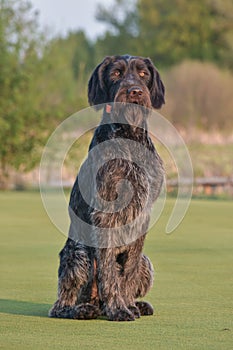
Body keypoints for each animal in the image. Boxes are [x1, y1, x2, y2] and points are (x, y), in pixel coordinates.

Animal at [49, 54, 165, 320]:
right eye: (116, 74)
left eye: (143, 74)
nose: (134, 91)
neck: (129, 136)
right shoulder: (105, 214)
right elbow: (108, 272)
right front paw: (118, 309)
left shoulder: (142, 216)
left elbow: (128, 272)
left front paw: (129, 304)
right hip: (79, 252)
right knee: (61, 304)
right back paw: (83, 309)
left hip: (146, 261)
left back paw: (135, 305)